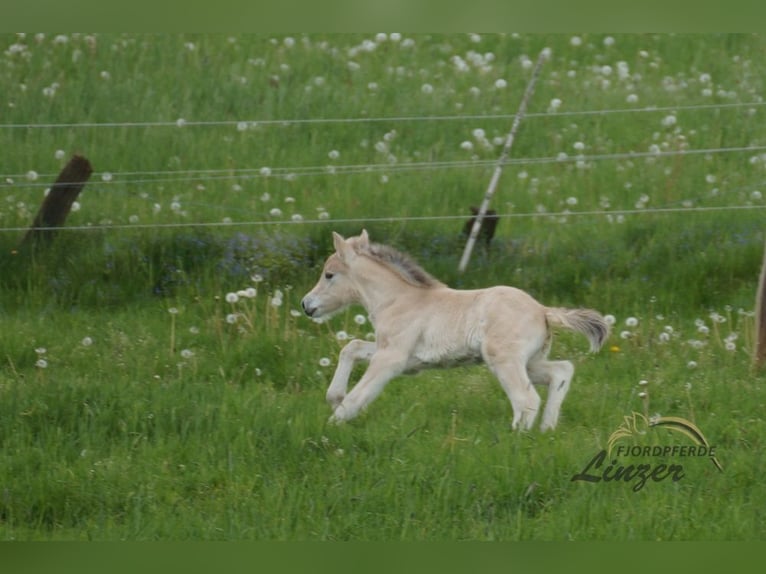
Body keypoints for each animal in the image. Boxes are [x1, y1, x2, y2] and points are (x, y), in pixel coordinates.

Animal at [304, 230, 608, 432]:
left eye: (329, 275)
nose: (306, 305)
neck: (398, 299)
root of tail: (542, 311)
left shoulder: (392, 358)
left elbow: (360, 393)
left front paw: (332, 424)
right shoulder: (401, 357)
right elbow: (351, 347)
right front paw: (334, 398)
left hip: (504, 359)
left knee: (527, 399)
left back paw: (516, 438)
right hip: (529, 362)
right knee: (562, 371)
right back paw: (547, 429)